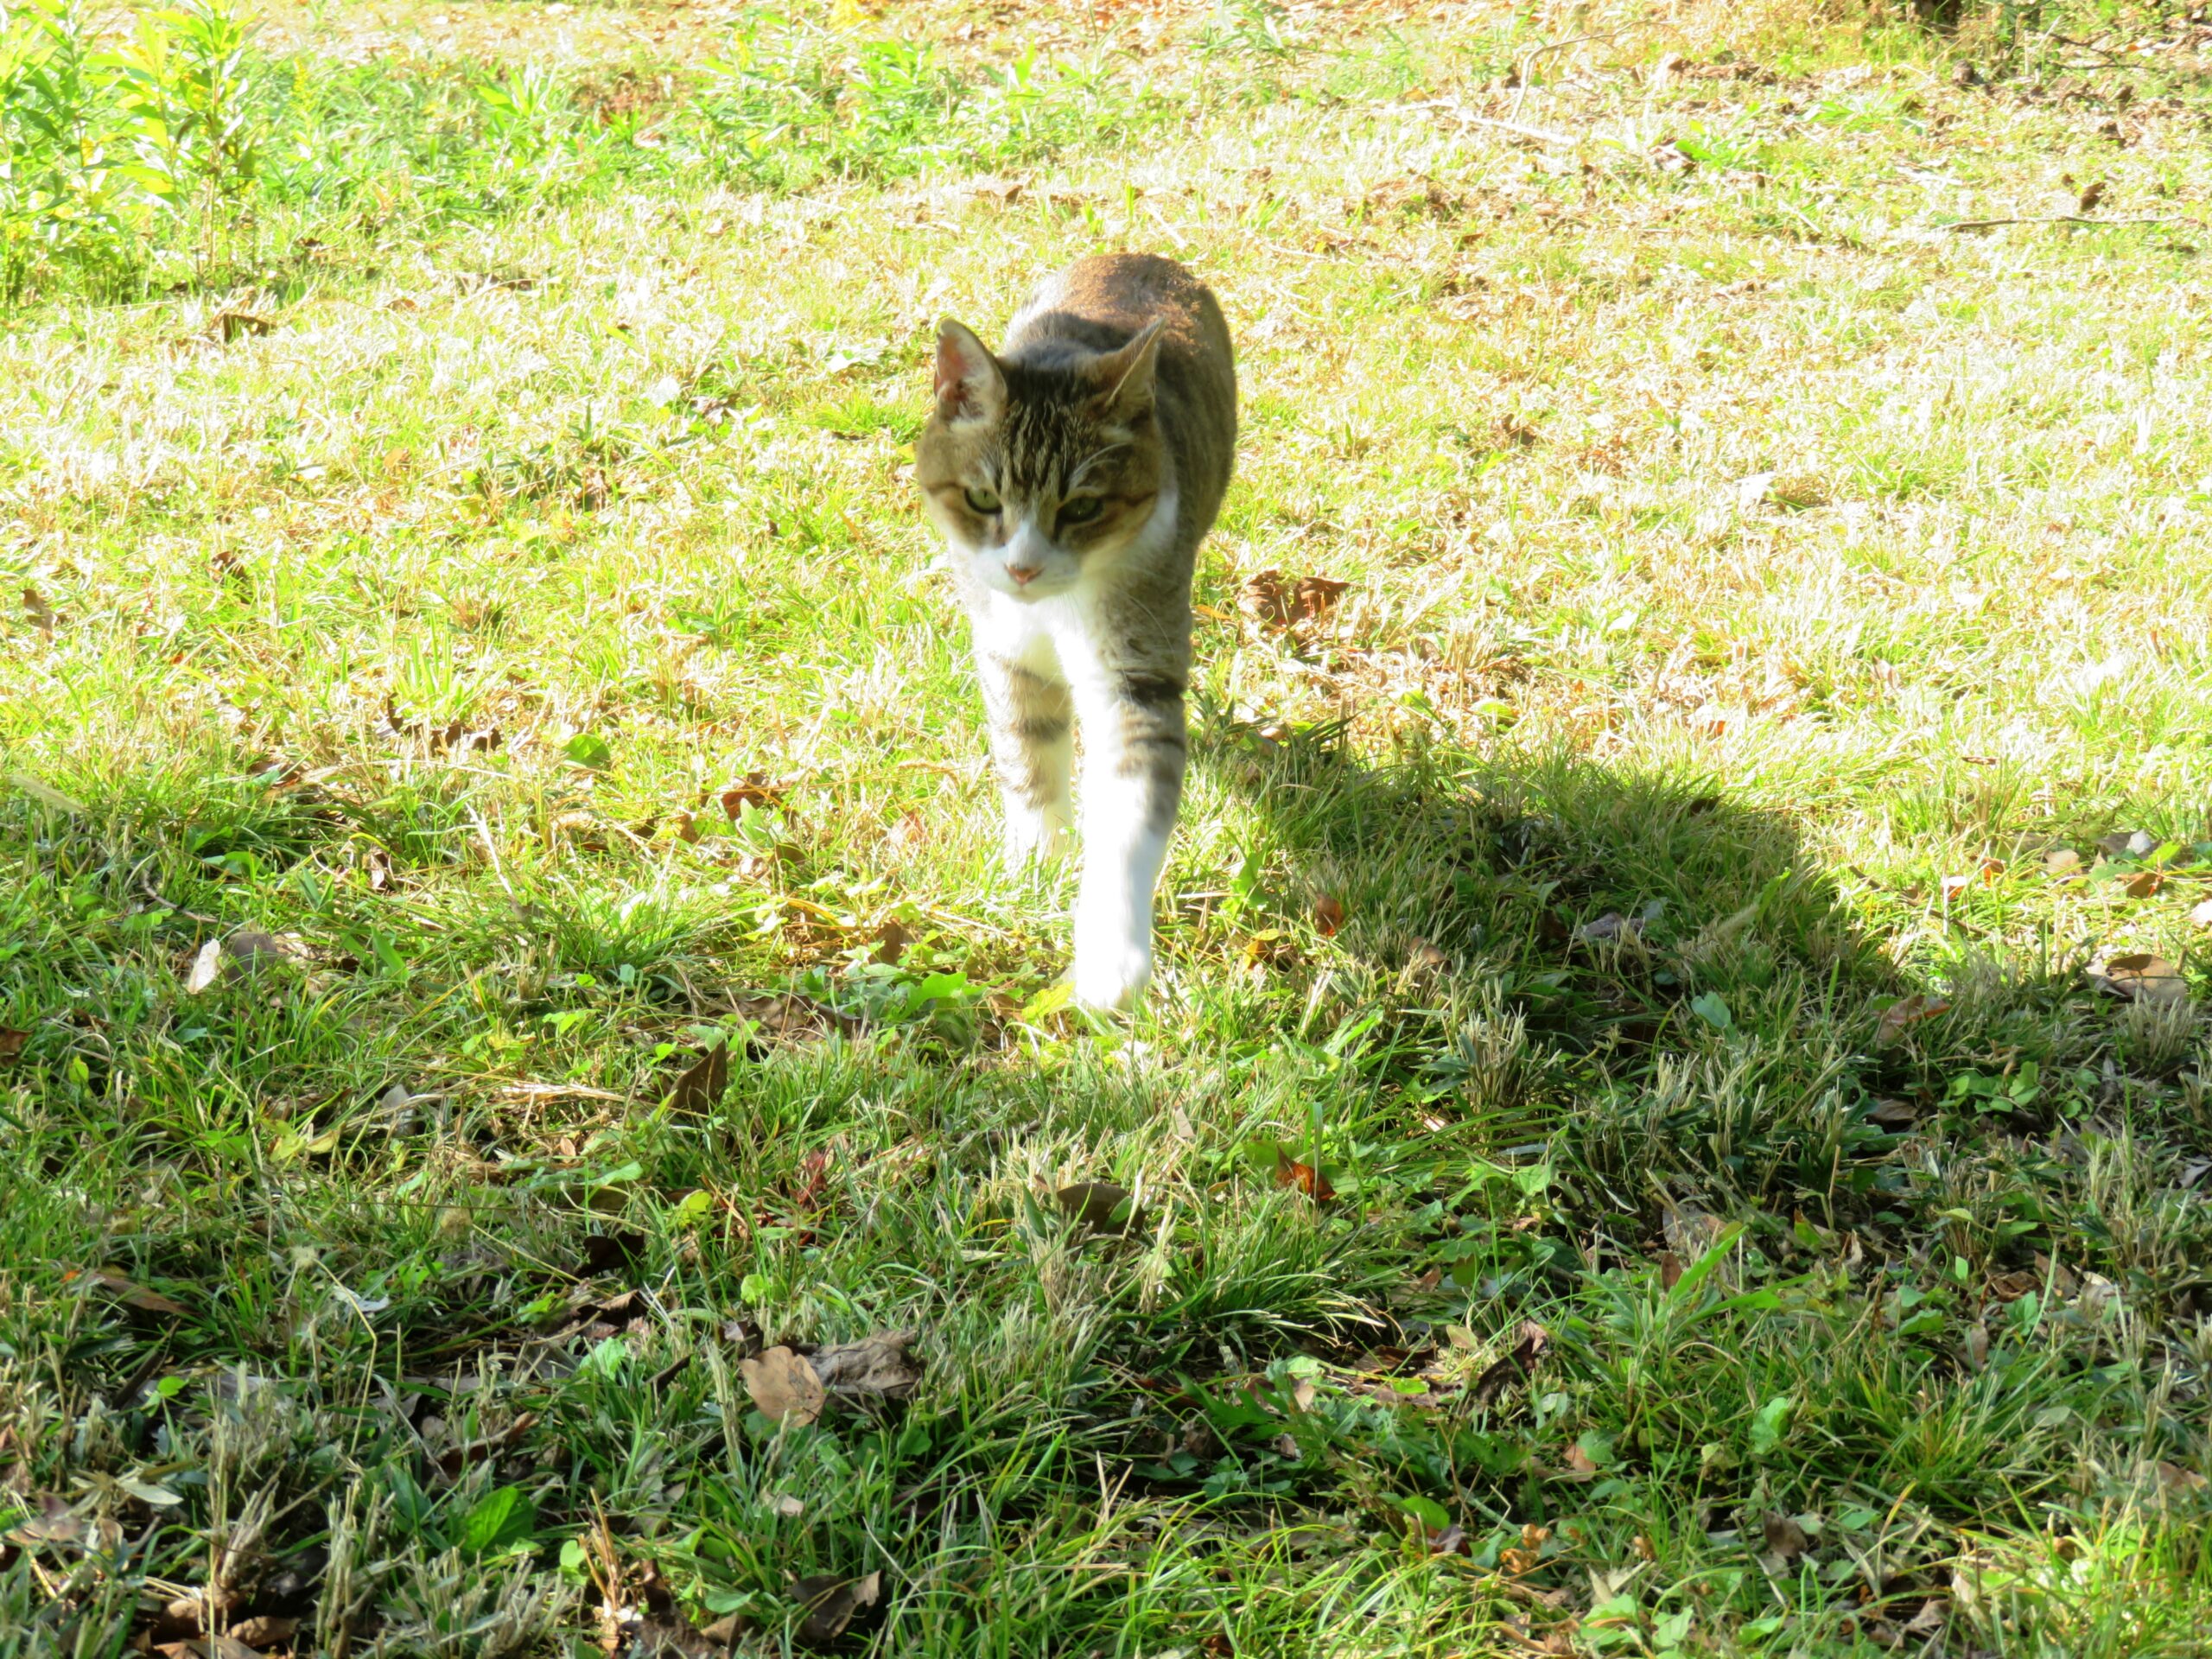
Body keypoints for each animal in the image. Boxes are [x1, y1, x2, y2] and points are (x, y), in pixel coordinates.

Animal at [911, 256, 1238, 1013]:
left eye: (1084, 507)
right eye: (982, 499)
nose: (1023, 567)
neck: (1056, 606)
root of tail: (1137, 254)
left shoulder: (1135, 665)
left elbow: (1130, 804)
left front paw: (1111, 955)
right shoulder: (1006, 646)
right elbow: (1026, 750)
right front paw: (1037, 860)